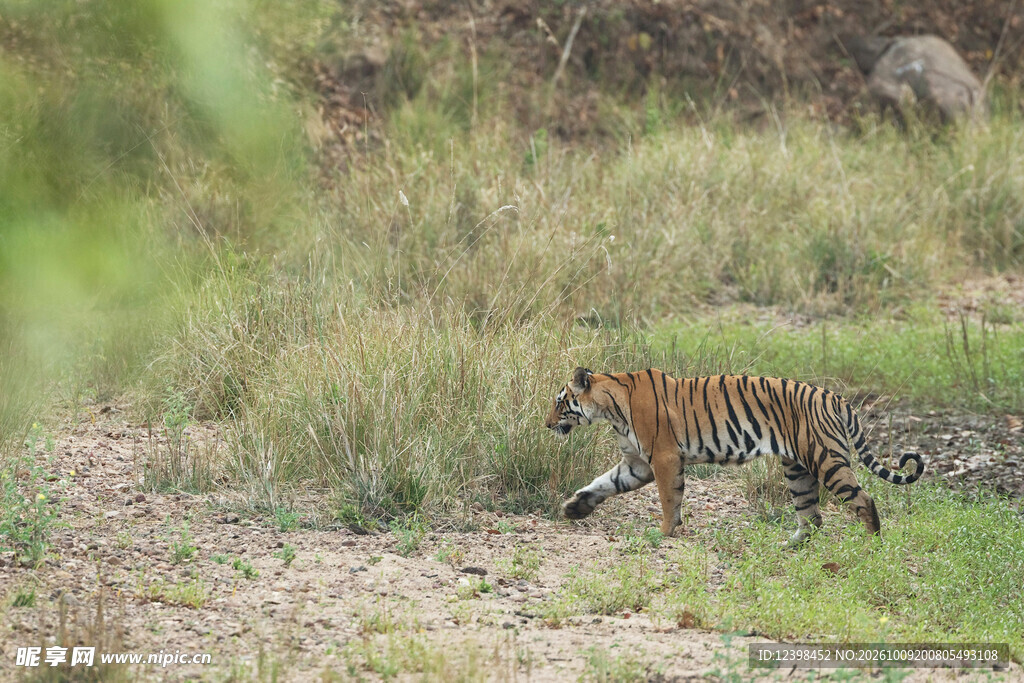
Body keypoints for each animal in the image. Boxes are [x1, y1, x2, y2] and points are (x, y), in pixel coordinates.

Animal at [545, 367, 924, 545]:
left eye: (559, 402)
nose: (547, 424)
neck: (609, 407)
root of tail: (837, 398)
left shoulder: (663, 458)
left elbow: (668, 499)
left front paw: (664, 532)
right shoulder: (637, 464)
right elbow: (604, 483)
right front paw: (575, 508)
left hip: (826, 459)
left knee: (864, 500)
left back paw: (871, 545)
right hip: (797, 469)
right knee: (812, 517)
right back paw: (789, 545)